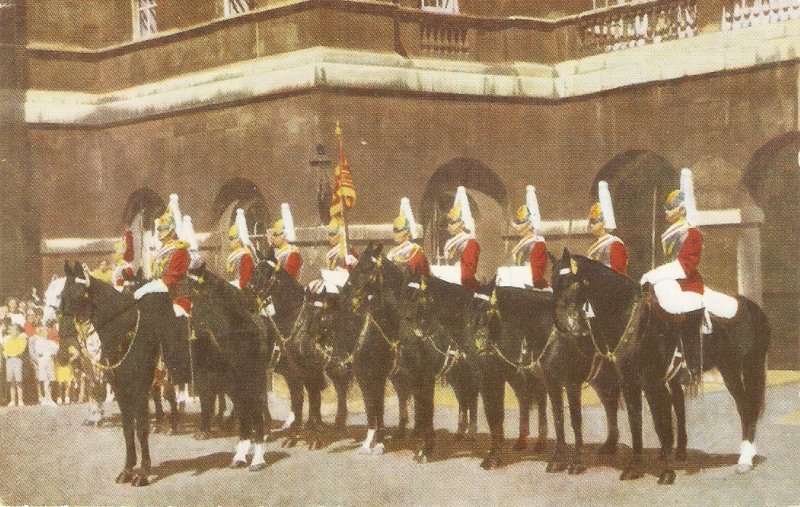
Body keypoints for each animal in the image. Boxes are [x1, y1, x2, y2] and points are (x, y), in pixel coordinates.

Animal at [552, 252, 772, 482]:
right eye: (553, 282)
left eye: (572, 283)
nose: (560, 322)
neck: (633, 319)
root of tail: (756, 309)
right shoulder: (630, 383)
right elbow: (635, 422)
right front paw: (634, 467)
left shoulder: (652, 384)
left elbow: (661, 423)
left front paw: (667, 472)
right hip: (729, 368)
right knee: (743, 406)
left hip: (748, 366)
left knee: (747, 407)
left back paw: (745, 459)